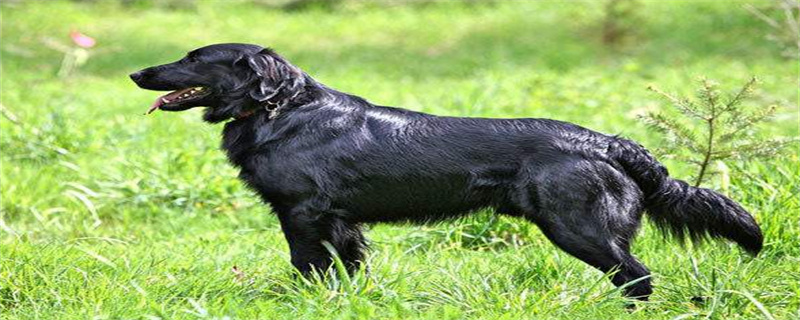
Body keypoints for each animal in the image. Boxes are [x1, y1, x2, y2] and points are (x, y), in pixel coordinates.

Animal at [131, 42, 764, 300]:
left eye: (194, 59)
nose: (137, 73)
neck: (281, 109)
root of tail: (608, 142)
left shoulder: (303, 213)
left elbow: (306, 269)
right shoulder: (340, 221)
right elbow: (345, 272)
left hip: (578, 227)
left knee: (637, 277)